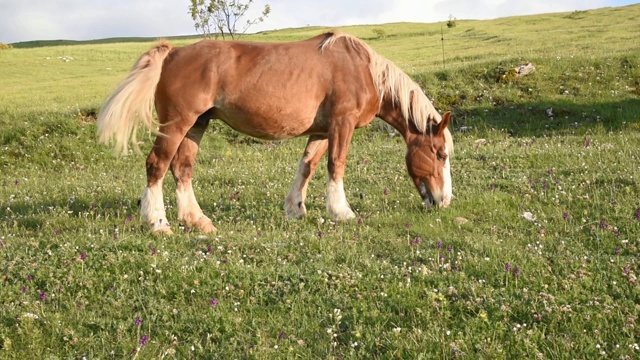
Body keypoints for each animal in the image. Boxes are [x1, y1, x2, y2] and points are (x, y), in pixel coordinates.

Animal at [97, 32, 452, 235]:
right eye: (440, 153)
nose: (444, 200)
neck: (362, 69)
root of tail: (172, 53)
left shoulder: (322, 131)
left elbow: (307, 166)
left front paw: (296, 209)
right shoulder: (342, 123)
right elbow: (335, 165)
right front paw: (342, 212)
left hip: (196, 125)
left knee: (182, 169)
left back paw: (197, 221)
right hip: (176, 124)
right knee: (156, 165)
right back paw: (158, 223)